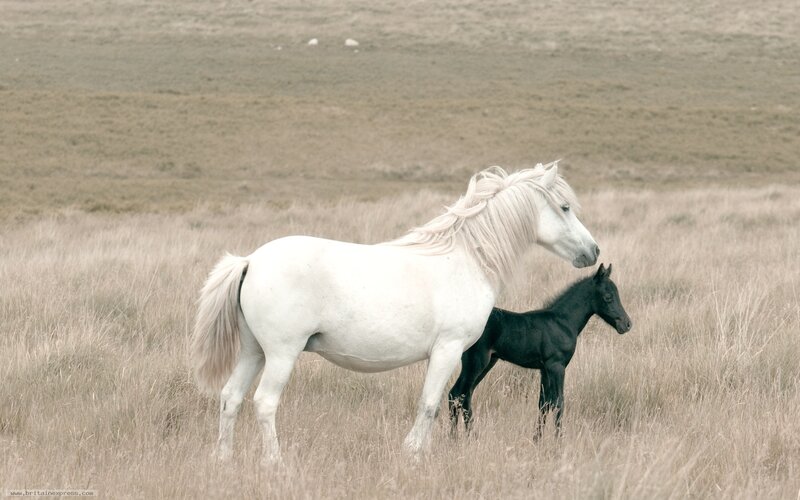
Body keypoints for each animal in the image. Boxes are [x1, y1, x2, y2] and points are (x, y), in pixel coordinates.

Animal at [190, 162, 600, 464]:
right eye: (564, 208)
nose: (593, 251)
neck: (466, 258)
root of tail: (250, 261)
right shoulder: (448, 350)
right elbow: (431, 404)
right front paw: (414, 453)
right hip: (280, 354)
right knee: (264, 403)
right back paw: (274, 463)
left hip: (253, 352)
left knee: (230, 398)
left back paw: (223, 459)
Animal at [448, 263, 631, 439]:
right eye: (608, 297)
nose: (627, 324)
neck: (563, 322)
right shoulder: (557, 366)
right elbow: (558, 402)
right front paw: (558, 440)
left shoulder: (544, 369)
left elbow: (544, 403)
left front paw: (538, 439)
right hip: (477, 362)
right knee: (458, 394)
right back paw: (461, 437)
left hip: (487, 363)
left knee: (462, 395)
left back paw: (461, 437)